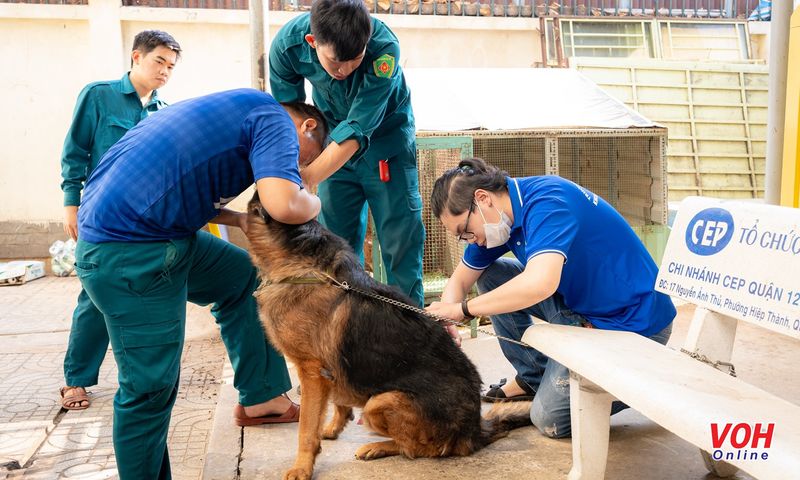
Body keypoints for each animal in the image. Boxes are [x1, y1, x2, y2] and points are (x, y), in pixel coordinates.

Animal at [244, 195, 532, 480]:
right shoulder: (329, 371)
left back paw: (377, 446)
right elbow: (337, 402)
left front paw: (302, 467)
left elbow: (305, 428)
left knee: (419, 448)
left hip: (379, 402)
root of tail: (475, 429)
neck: (308, 269)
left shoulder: (311, 372)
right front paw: (333, 428)